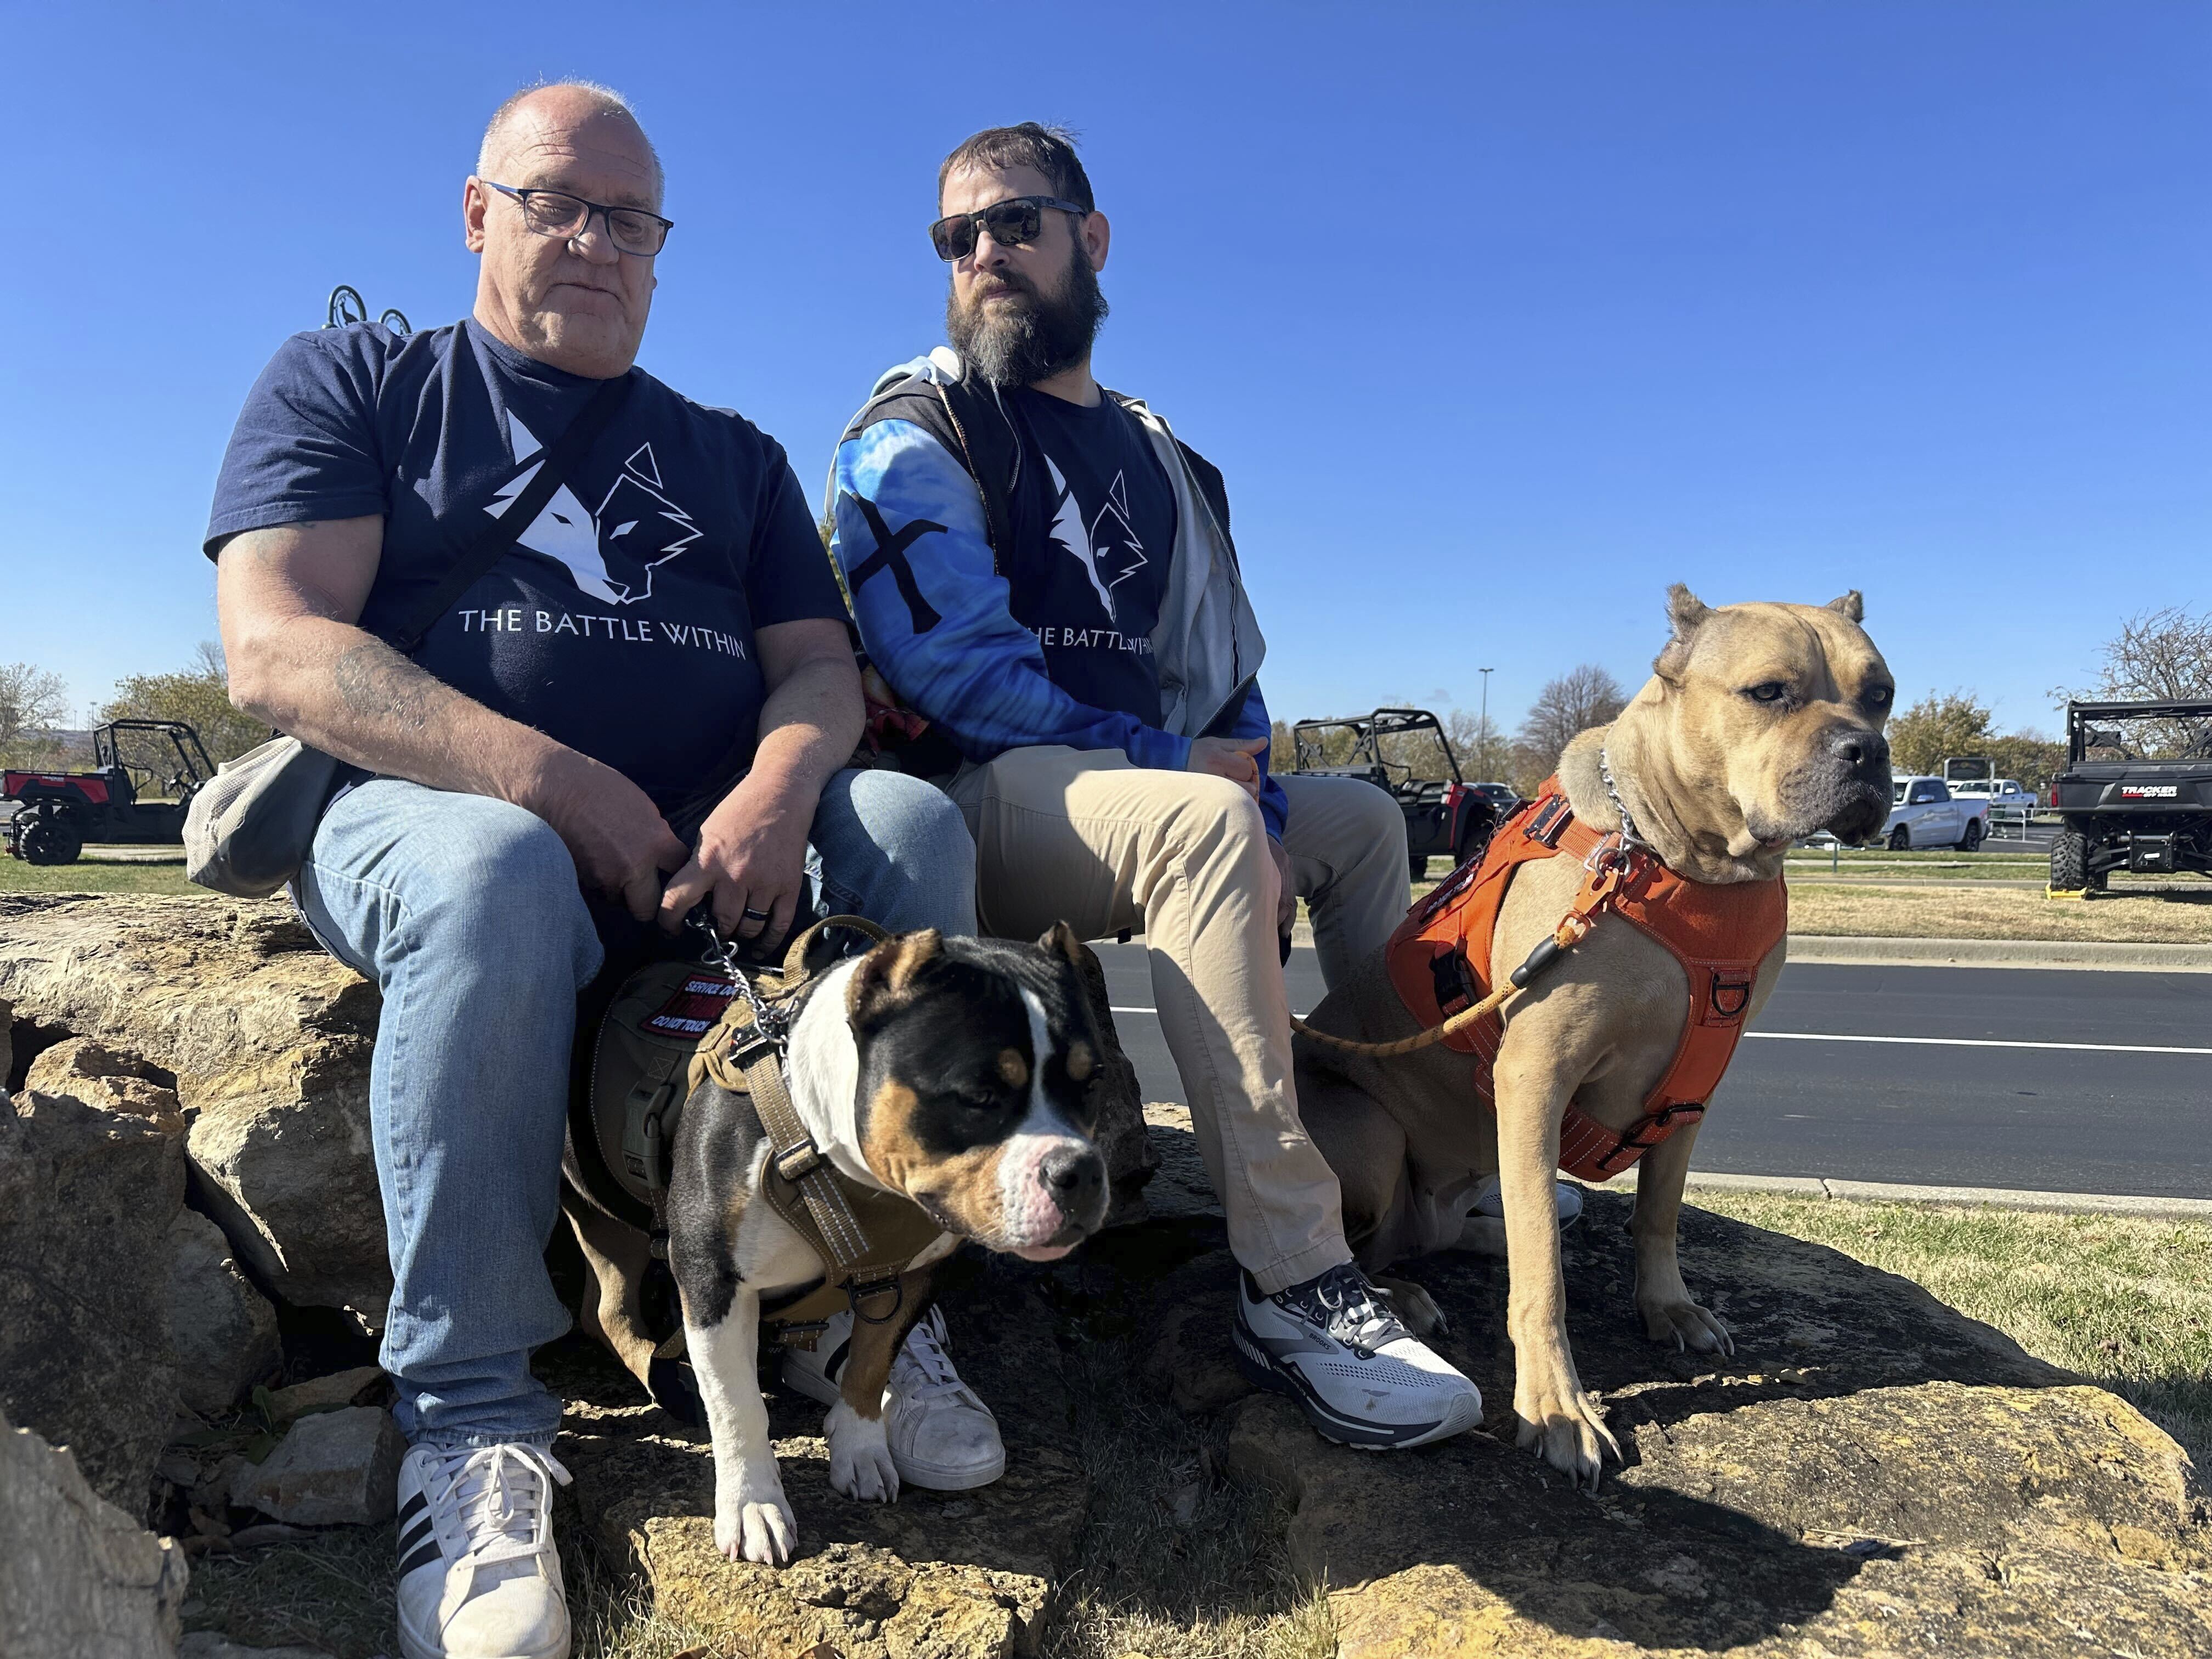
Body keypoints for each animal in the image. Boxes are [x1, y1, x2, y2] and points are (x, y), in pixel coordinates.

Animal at [659, 938, 1101, 1575]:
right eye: (979, 1095)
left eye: (1092, 1084)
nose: (1080, 1172)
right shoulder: (710, 1278)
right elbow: (737, 1404)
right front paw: (753, 1505)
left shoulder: (908, 1274)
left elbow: (870, 1364)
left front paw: (860, 1448)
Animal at [1291, 588, 1902, 1495]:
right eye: (1769, 693)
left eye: (1881, 694)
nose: (1868, 750)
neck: (1686, 866)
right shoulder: (1534, 1077)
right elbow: (1541, 1270)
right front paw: (1557, 1406)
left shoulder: (1691, 1094)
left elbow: (1658, 1213)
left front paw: (1667, 1306)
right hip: (1368, 1136)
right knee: (1368, 1237)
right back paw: (1402, 1296)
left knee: (1452, 1226)